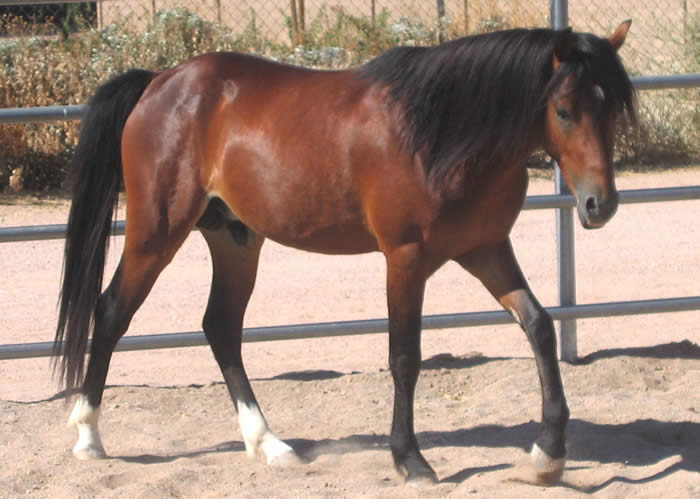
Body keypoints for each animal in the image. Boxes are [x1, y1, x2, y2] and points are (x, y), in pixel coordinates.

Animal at [53, 21, 636, 484]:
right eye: (564, 110)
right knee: (112, 311)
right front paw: (411, 460)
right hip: (156, 232)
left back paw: (269, 444)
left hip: (235, 239)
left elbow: (539, 326)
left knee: (220, 326)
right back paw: (88, 438)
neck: (439, 133)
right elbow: (404, 357)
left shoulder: (486, 249)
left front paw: (548, 455)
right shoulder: (405, 258)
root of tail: (160, 82)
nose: (599, 205)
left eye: (612, 109)